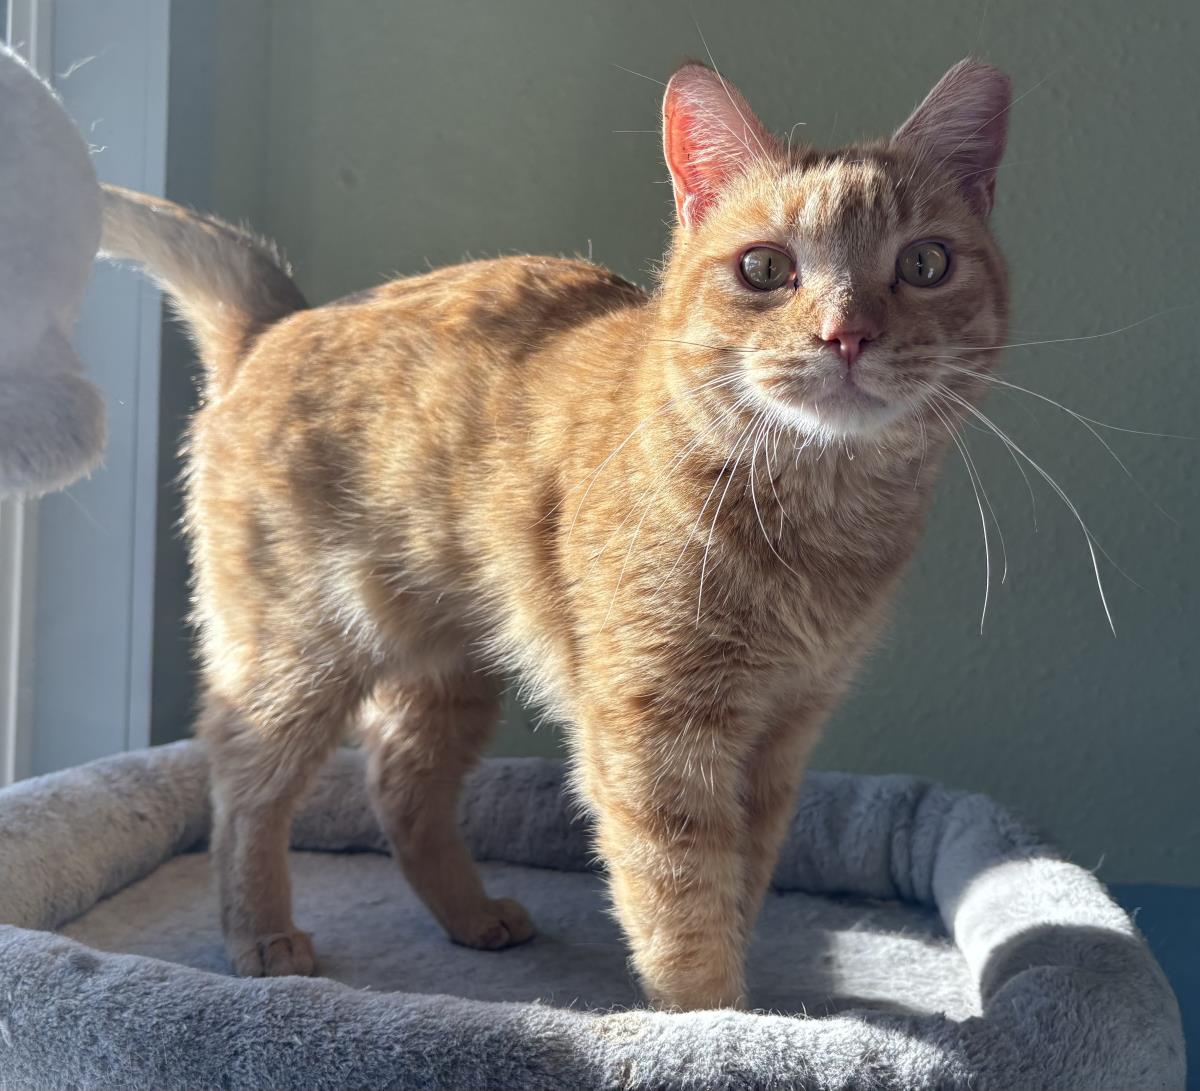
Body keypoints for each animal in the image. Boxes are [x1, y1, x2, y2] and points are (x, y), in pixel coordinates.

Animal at [99, 56, 1009, 1012]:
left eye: (924, 262)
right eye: (765, 268)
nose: (848, 334)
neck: (816, 520)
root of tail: (277, 323)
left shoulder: (779, 740)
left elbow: (740, 882)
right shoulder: (655, 736)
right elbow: (680, 905)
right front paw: (714, 1023)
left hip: (447, 677)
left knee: (399, 786)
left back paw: (469, 914)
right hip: (298, 652)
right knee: (242, 786)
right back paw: (261, 934)